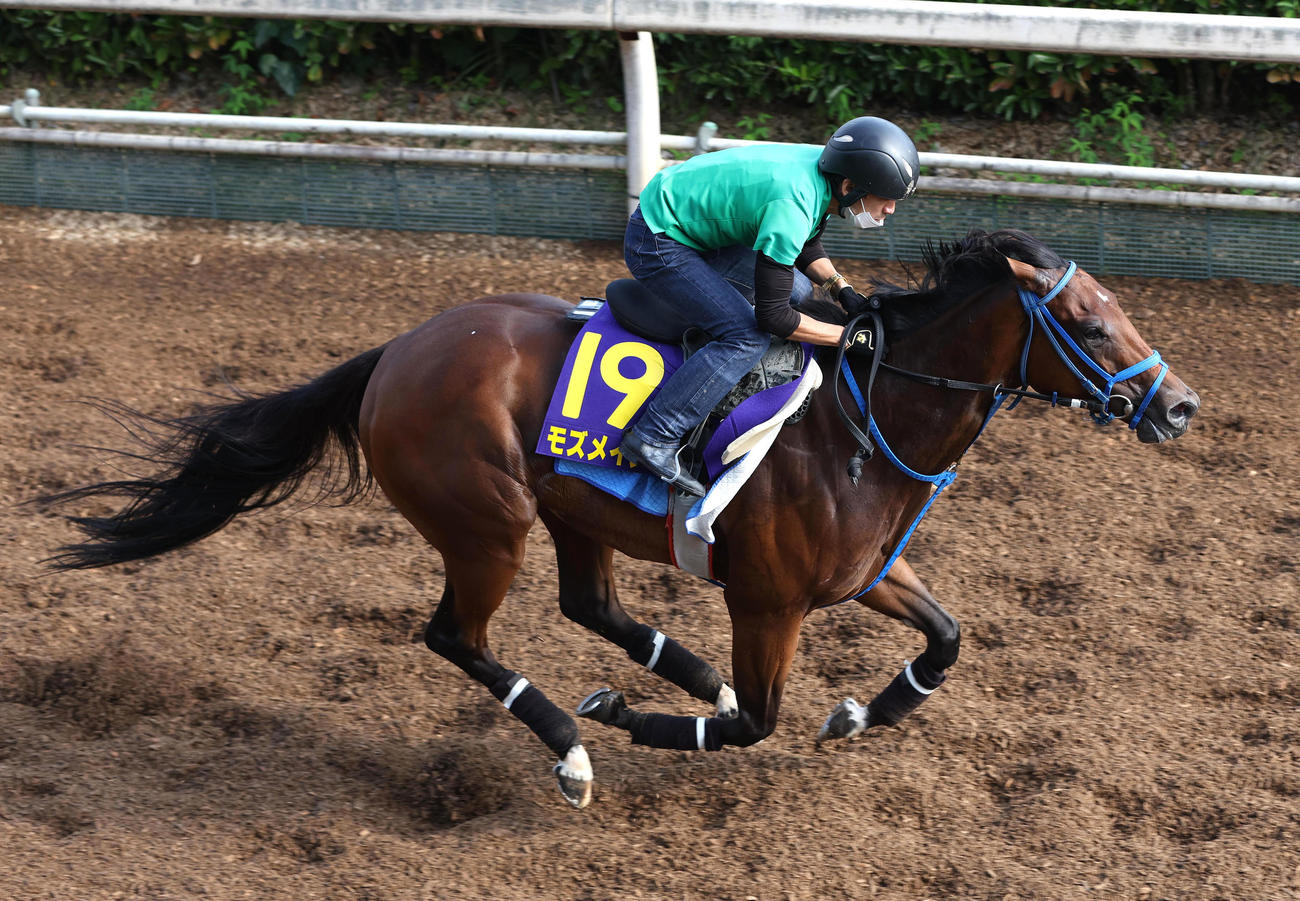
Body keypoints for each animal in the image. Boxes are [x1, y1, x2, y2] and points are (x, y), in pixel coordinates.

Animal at [42, 228, 1199, 809]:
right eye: (1090, 320)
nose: (1179, 404)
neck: (862, 424)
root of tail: (396, 353)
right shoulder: (768, 599)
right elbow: (756, 721)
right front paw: (635, 724)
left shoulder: (866, 572)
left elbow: (950, 640)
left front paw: (857, 713)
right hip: (488, 522)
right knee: (457, 634)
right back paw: (573, 743)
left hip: (568, 511)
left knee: (589, 604)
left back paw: (666, 678)